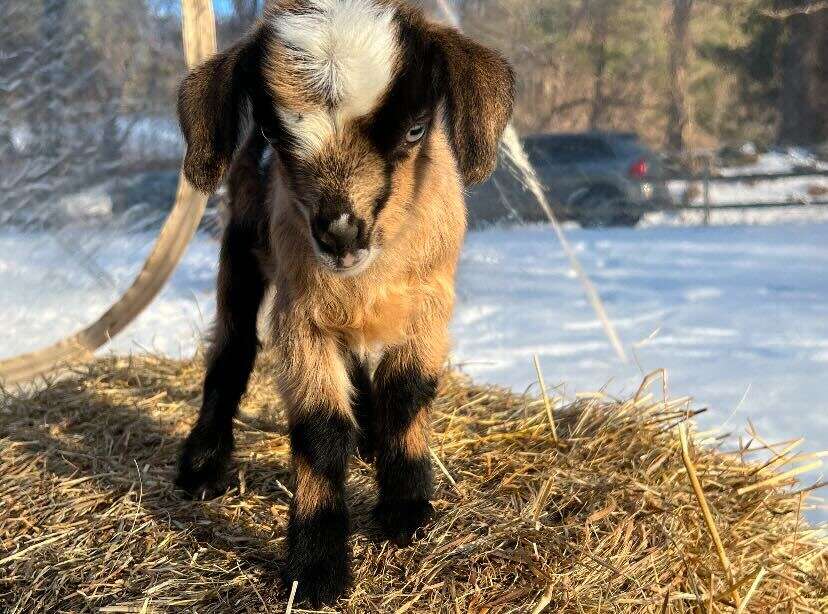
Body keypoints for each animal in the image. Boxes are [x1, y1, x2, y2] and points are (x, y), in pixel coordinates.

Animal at [175, 0, 512, 608]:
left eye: (415, 129)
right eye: (272, 133)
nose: (339, 235)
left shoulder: (429, 304)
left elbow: (405, 393)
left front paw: (405, 509)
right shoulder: (300, 317)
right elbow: (320, 428)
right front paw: (317, 565)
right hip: (241, 245)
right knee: (232, 347)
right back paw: (203, 464)